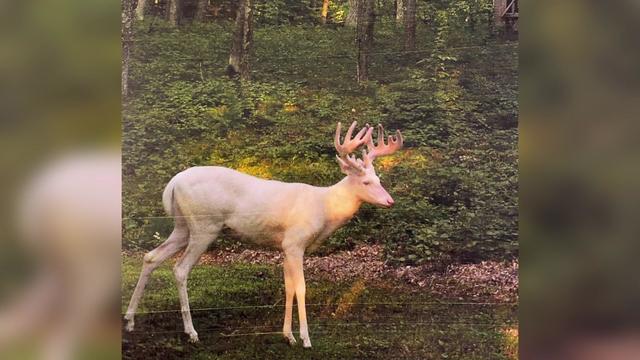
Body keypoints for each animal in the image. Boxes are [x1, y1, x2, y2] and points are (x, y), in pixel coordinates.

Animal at [124, 122, 404, 348]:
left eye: (379, 179)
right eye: (366, 182)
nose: (390, 201)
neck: (324, 208)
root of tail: (172, 184)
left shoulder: (284, 245)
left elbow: (288, 287)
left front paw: (288, 336)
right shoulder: (295, 242)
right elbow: (301, 287)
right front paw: (305, 339)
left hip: (183, 226)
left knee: (151, 257)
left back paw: (129, 320)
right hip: (205, 225)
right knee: (180, 269)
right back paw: (191, 332)